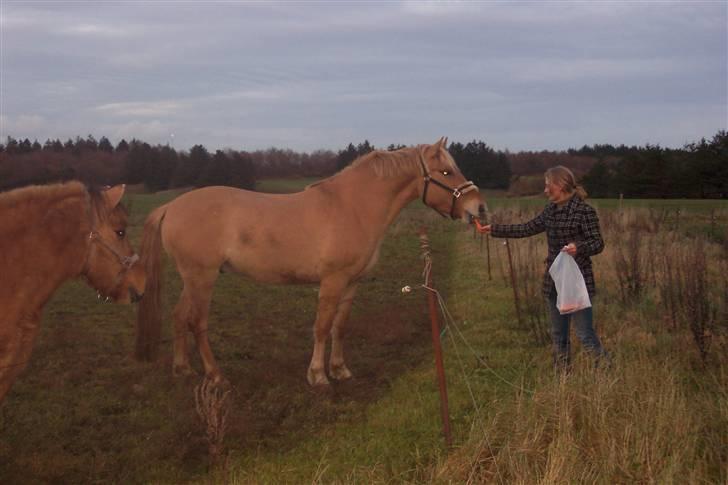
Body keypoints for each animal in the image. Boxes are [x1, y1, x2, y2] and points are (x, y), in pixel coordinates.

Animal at [138, 137, 484, 386]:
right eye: (446, 172)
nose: (477, 208)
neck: (354, 206)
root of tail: (171, 206)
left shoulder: (352, 282)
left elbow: (340, 327)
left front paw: (340, 369)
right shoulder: (332, 281)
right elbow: (321, 326)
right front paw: (317, 375)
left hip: (192, 279)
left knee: (179, 317)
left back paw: (183, 369)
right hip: (202, 278)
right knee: (197, 323)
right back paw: (215, 375)